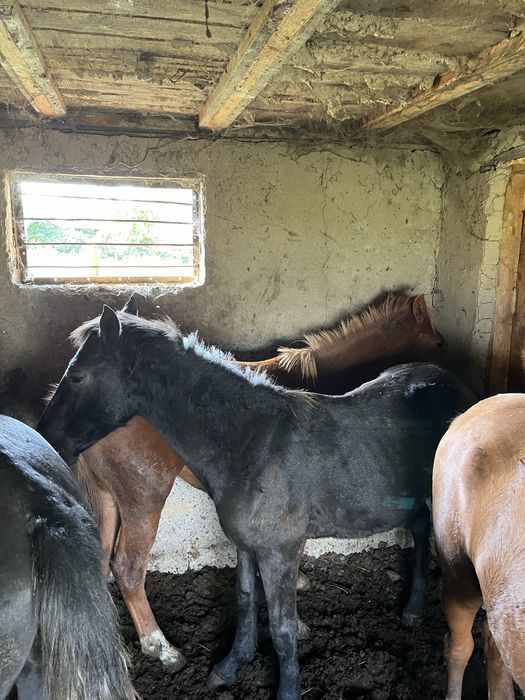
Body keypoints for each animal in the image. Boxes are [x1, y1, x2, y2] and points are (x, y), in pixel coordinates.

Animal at [37, 305, 475, 700]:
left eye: (77, 375)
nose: (45, 437)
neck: (251, 441)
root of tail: (451, 382)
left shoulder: (279, 551)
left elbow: (282, 627)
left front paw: (287, 689)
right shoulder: (246, 545)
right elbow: (246, 599)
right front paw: (231, 666)